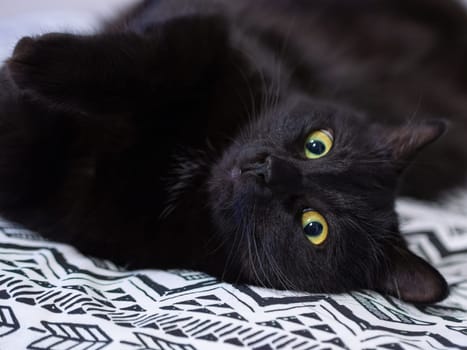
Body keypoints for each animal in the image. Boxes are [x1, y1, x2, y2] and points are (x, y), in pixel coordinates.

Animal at [1, 0, 466, 302]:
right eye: (318, 144)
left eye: (314, 227)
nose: (266, 169)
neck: (198, 162)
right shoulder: (220, 33)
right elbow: (153, 58)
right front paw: (35, 60)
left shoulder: (79, 205)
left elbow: (30, 156)